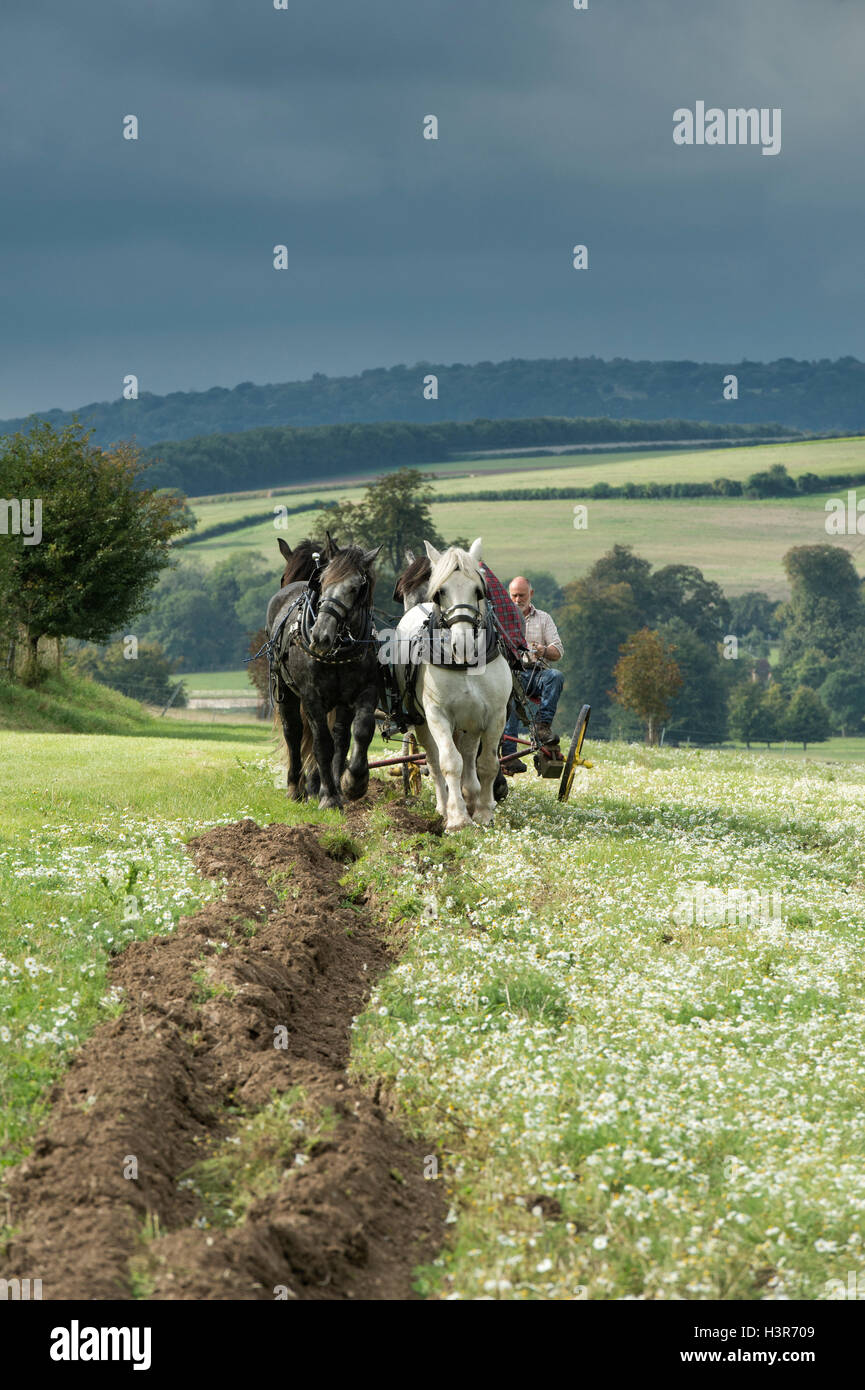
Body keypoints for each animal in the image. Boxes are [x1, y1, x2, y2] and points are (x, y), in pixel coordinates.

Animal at [267, 532, 382, 809]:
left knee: (340, 736)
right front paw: (328, 797)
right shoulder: (312, 697)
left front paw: (353, 783)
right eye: (322, 582)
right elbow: (321, 744)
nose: (320, 635)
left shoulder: (366, 691)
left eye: (356, 588)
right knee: (294, 732)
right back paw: (295, 788)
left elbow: (361, 731)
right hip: (284, 691)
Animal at [393, 537, 512, 831]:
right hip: (423, 721)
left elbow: (488, 763)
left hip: (470, 722)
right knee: (435, 760)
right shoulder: (437, 715)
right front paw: (457, 818)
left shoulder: (495, 715)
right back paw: (445, 806)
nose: (464, 643)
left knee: (469, 756)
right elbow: (449, 762)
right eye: (440, 592)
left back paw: (470, 796)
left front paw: (483, 812)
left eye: (479, 590)